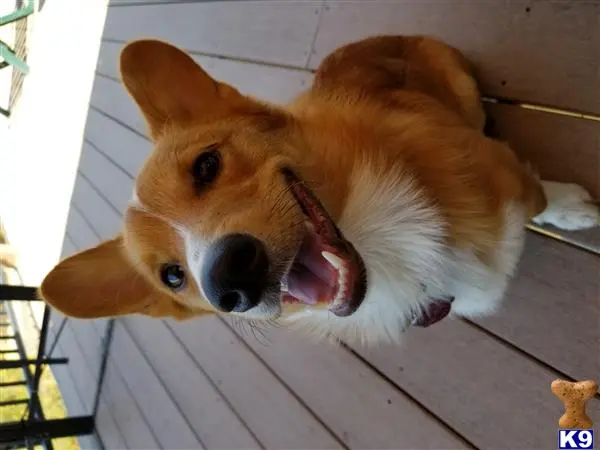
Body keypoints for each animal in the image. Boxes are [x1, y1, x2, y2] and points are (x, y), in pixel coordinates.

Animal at [38, 36, 600, 344]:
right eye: (173, 277)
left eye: (206, 165)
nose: (230, 278)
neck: (392, 247)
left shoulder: (514, 182)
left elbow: (544, 195)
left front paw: (573, 210)